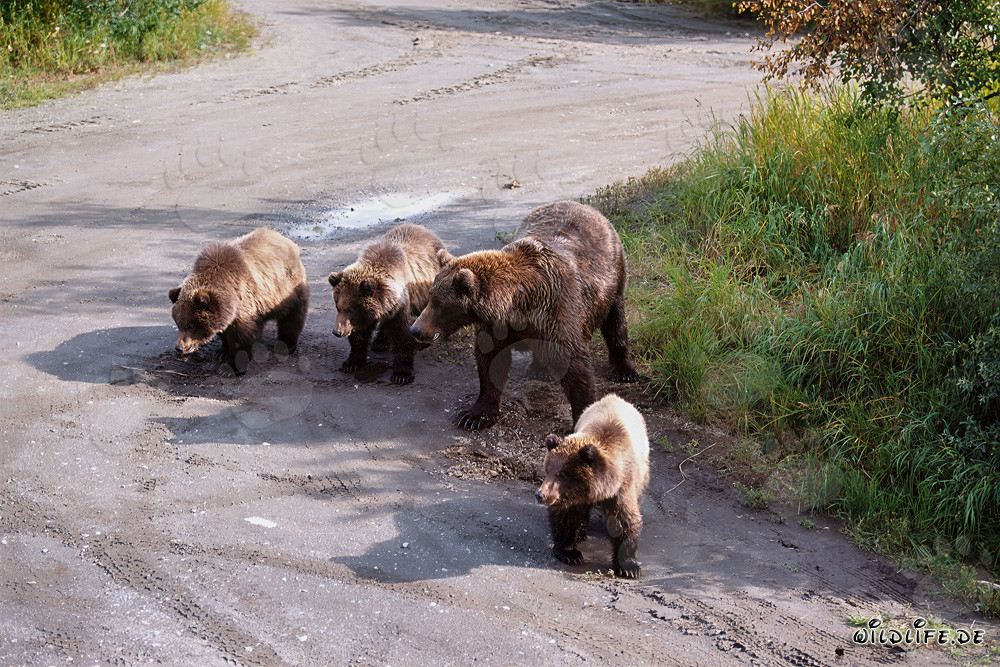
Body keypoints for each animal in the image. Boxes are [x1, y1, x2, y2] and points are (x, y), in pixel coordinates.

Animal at [169, 227, 309, 376]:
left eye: (190, 325)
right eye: (178, 323)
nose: (179, 347)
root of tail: (285, 240)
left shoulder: (243, 304)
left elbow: (241, 338)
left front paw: (229, 368)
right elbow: (225, 332)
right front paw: (222, 352)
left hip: (288, 289)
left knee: (292, 317)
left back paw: (286, 345)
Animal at [327, 223, 445, 385]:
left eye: (350, 309)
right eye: (338, 307)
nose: (337, 331)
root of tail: (424, 229)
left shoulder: (401, 304)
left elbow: (401, 333)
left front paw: (401, 374)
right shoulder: (367, 315)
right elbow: (359, 336)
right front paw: (351, 363)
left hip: (428, 286)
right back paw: (380, 342)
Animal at [409, 200, 639, 430]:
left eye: (441, 304)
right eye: (430, 296)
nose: (415, 329)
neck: (516, 307)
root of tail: (583, 206)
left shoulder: (556, 311)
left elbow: (574, 364)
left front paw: (582, 414)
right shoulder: (496, 326)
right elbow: (490, 361)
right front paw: (476, 415)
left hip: (613, 277)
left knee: (615, 322)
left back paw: (623, 369)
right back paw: (539, 368)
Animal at [535, 393, 650, 578]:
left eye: (563, 474)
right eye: (548, 470)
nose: (540, 494)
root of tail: (614, 397)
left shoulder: (623, 486)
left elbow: (625, 518)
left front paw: (629, 567)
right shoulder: (570, 497)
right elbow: (566, 517)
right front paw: (570, 553)